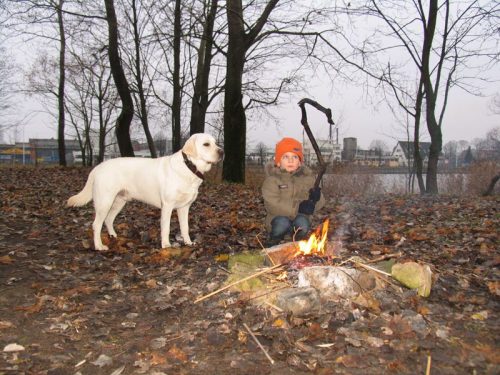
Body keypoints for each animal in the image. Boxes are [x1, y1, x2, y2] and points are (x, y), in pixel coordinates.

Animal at [67, 134, 224, 251]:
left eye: (215, 143)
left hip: (119, 202)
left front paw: (188, 243)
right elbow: (166, 227)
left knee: (108, 220)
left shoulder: (184, 207)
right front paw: (166, 245)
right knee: (96, 224)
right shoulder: (167, 206)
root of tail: (97, 168)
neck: (189, 166)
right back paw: (99, 246)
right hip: (104, 202)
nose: (222, 151)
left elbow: (185, 227)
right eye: (206, 144)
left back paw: (113, 236)